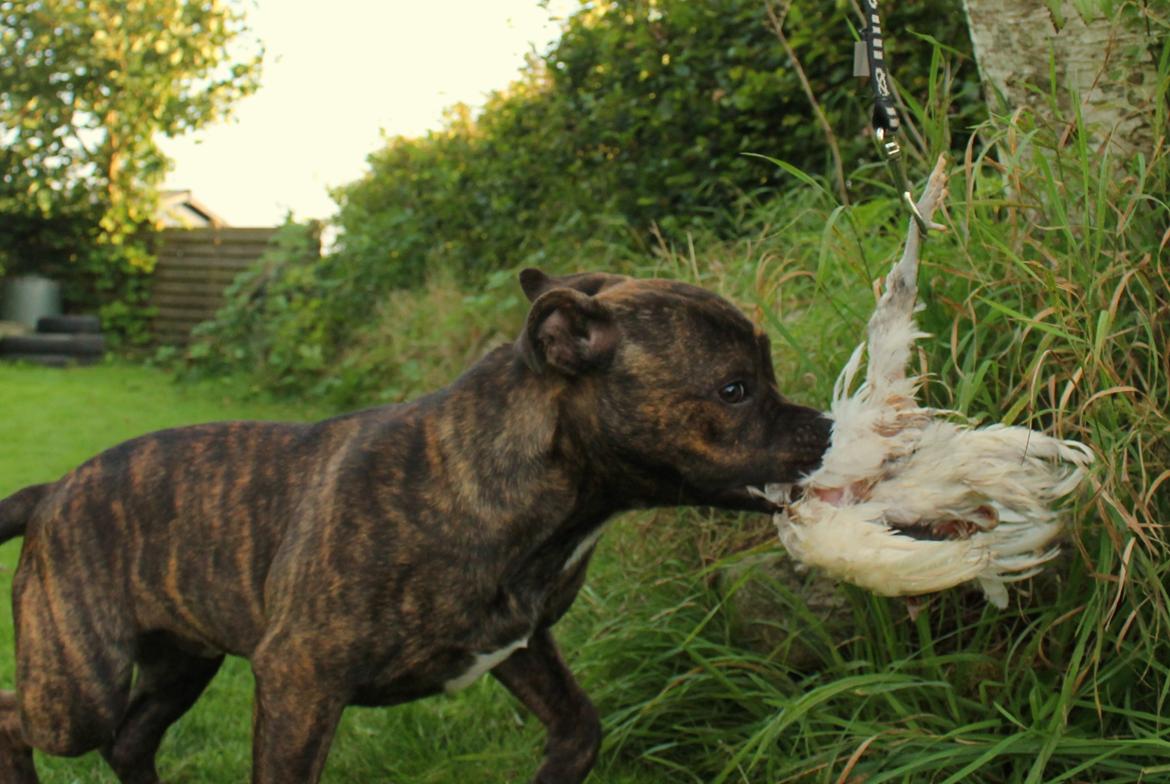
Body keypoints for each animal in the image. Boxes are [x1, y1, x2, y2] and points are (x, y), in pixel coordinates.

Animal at [0, 271, 833, 784]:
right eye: (735, 389)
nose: (825, 428)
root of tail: (51, 492)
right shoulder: (300, 678)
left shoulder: (517, 646)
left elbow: (581, 727)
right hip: (77, 686)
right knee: (17, 718)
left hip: (181, 661)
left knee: (131, 739)